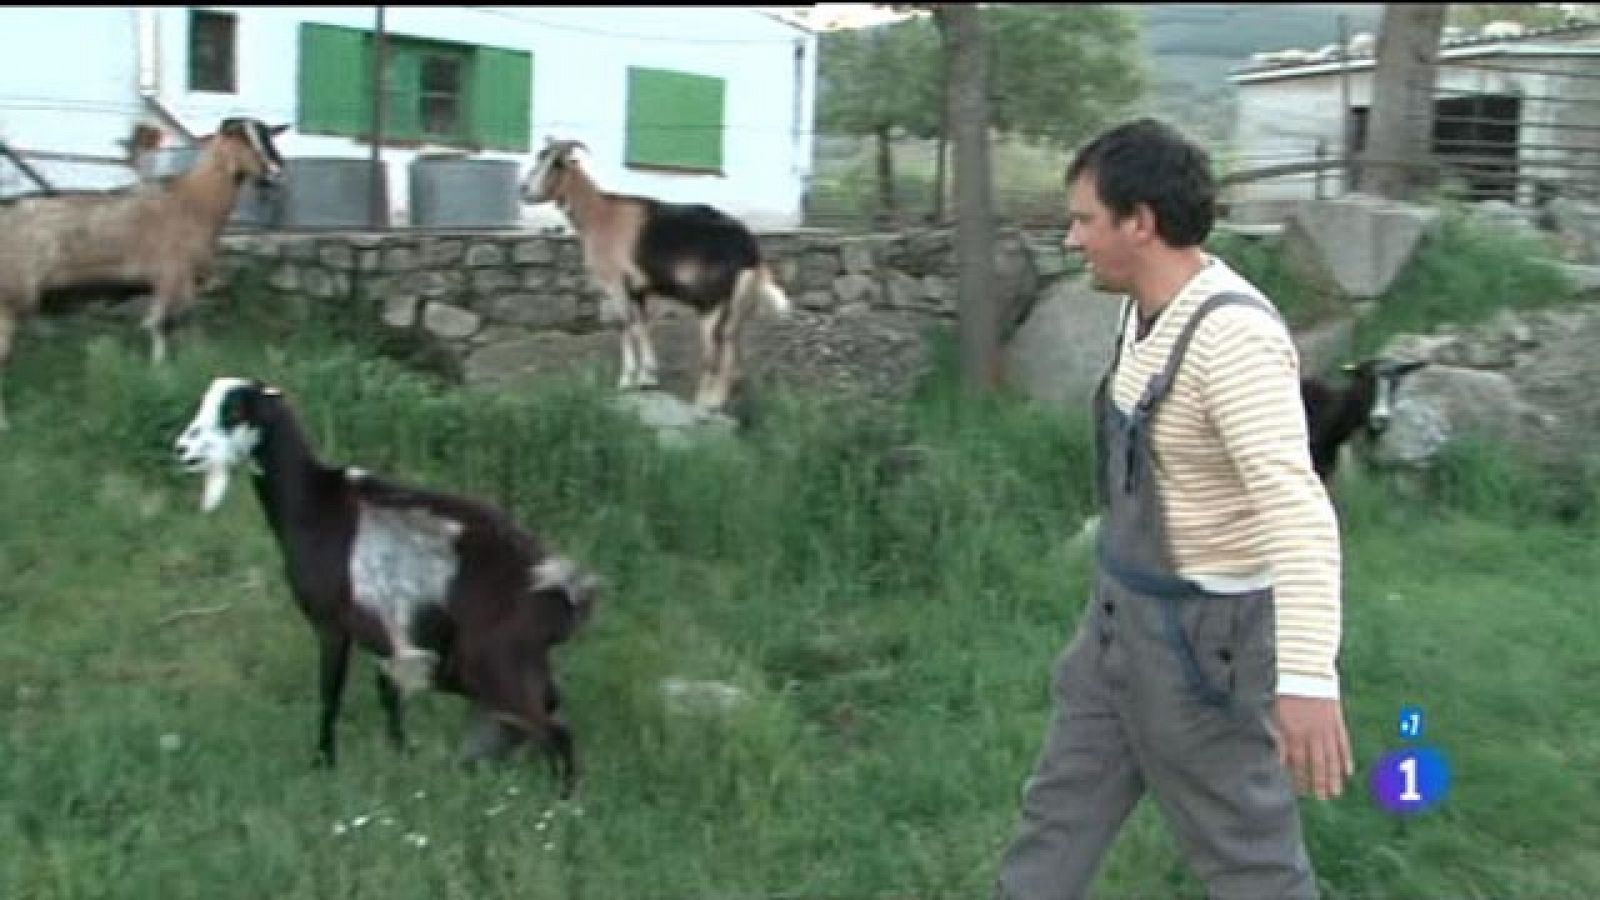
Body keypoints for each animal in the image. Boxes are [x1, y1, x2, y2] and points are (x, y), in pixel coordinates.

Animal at [0, 117, 284, 429]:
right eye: (242, 138)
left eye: (268, 136)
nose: (277, 170)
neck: (192, 203)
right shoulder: (171, 274)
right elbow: (160, 326)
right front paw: (161, 375)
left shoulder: (180, 281)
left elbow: (184, 324)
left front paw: (195, 363)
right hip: (9, 300)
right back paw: (5, 423)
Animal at [170, 374, 601, 794]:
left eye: (234, 411)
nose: (182, 449)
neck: (316, 504)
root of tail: (564, 590)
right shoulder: (389, 636)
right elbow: (388, 696)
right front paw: (400, 757)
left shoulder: (332, 623)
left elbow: (330, 694)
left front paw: (323, 764)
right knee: (546, 709)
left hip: (489, 661)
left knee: (555, 732)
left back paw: (561, 804)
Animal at [521, 136, 790, 413]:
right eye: (540, 157)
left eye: (557, 164)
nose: (524, 190)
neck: (600, 216)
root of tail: (751, 252)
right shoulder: (638, 289)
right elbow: (642, 326)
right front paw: (647, 378)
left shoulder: (615, 283)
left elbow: (625, 325)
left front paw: (626, 380)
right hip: (736, 308)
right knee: (732, 351)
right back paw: (721, 403)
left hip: (712, 304)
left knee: (714, 355)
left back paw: (704, 405)